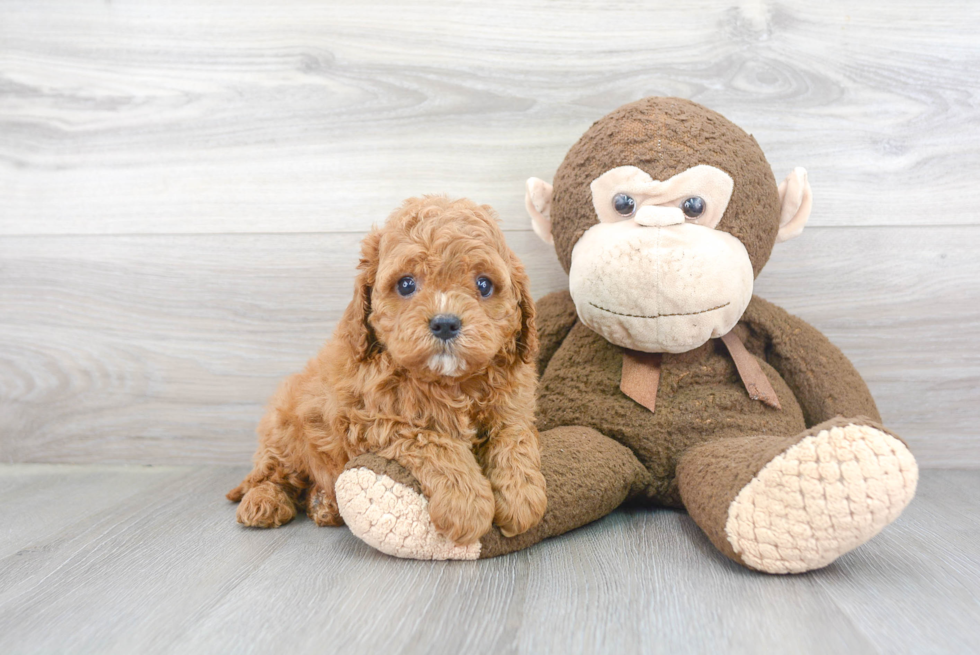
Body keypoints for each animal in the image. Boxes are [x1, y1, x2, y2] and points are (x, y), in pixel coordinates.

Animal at [231, 197, 552, 544]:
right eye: (406, 284)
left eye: (484, 285)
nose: (445, 323)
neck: (449, 382)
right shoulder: (370, 420)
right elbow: (433, 440)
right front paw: (465, 506)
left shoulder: (513, 406)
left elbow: (514, 438)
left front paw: (521, 497)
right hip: (284, 432)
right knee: (271, 475)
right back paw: (265, 503)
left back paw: (324, 505)